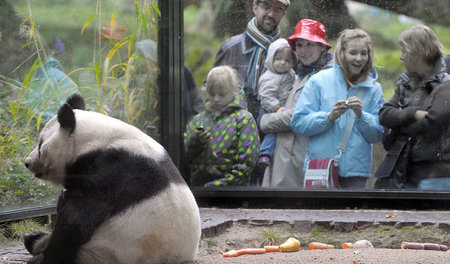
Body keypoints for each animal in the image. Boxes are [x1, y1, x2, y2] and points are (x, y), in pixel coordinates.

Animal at [23, 94, 201, 264]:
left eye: (40, 145)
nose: (27, 162)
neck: (94, 142)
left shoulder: (111, 172)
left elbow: (77, 219)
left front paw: (48, 258)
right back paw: (33, 239)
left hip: (105, 252)